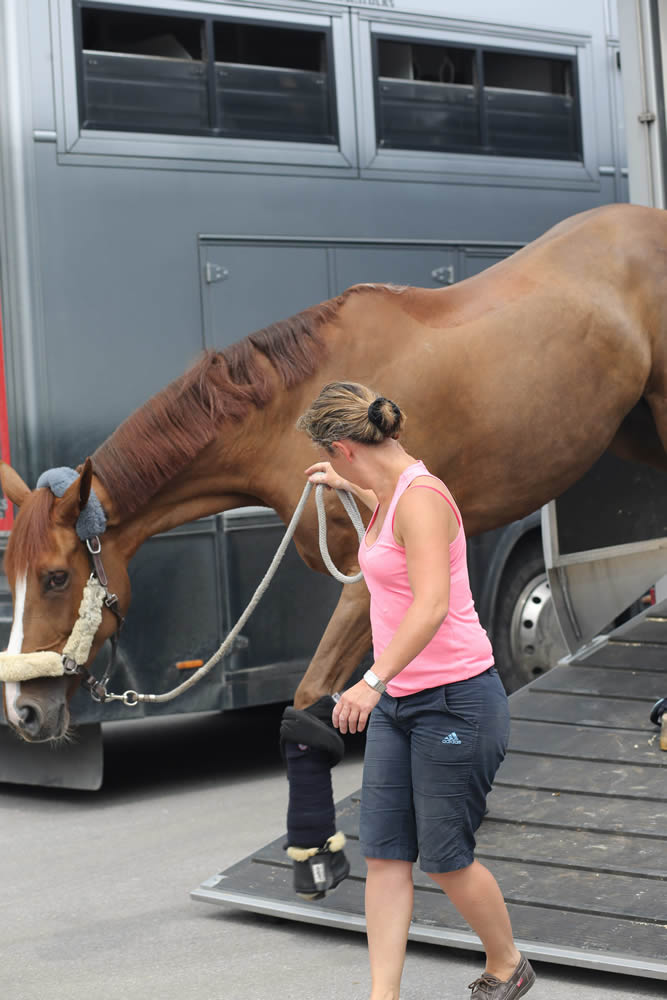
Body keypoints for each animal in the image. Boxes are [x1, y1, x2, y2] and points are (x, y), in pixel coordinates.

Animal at [1, 201, 667, 744]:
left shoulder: (367, 578)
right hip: (635, 432)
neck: (290, 418)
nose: (22, 712)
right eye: (14, 577)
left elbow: (316, 696)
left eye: (57, 578)